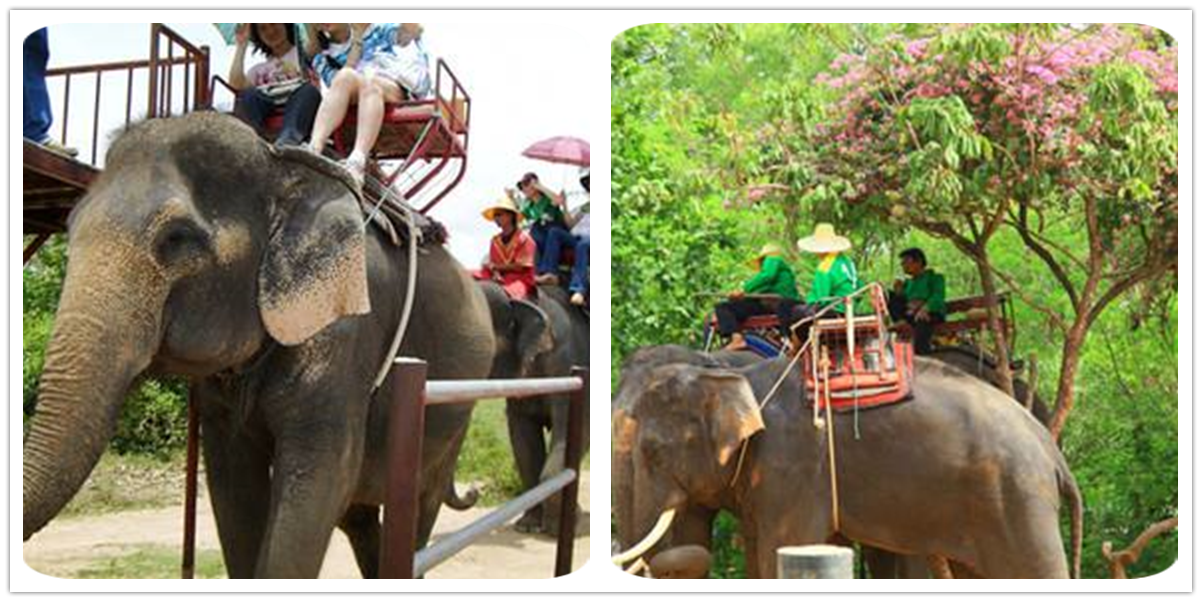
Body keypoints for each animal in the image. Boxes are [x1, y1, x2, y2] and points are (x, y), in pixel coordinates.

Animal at [21, 112, 495, 576]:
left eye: (177, 239)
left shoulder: (348, 326)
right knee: (358, 516)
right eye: (69, 227)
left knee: (419, 503)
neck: (281, 170)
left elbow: (322, 479)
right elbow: (233, 484)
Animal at [615, 348, 1086, 576]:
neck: (733, 377)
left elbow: (781, 548)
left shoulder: (793, 464)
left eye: (651, 451)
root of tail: (1051, 450)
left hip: (1017, 500)